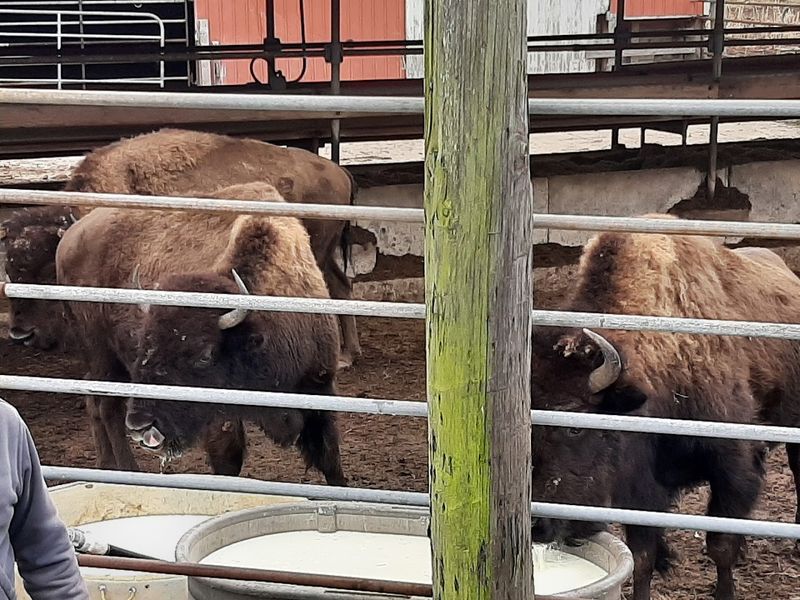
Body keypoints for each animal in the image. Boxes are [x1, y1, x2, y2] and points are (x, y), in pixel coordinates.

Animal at [2, 128, 361, 367]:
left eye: (47, 271)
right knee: (342, 285)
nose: (21, 333)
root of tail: (340, 171)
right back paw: (349, 355)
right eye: (10, 270)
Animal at [56, 182, 346, 485]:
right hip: (102, 357)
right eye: (145, 343)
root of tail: (69, 239)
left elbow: (329, 459)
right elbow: (228, 462)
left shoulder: (319, 389)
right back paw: (127, 469)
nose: (141, 425)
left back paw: (105, 464)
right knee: (107, 407)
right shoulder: (220, 419)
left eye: (205, 355)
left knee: (95, 403)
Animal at [530, 222, 800, 600]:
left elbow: (720, 545)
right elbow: (642, 556)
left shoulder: (733, 467)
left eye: (574, 425)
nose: (537, 524)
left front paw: (724, 591)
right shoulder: (641, 488)